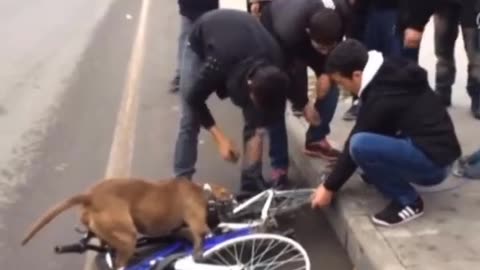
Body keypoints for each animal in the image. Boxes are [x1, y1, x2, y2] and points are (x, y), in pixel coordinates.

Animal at [20, 177, 234, 268]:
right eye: (229, 197)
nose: (235, 202)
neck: (203, 191)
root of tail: (90, 196)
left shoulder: (179, 229)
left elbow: (185, 233)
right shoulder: (197, 222)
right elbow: (201, 233)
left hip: (106, 231)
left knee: (106, 244)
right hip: (127, 235)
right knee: (119, 261)